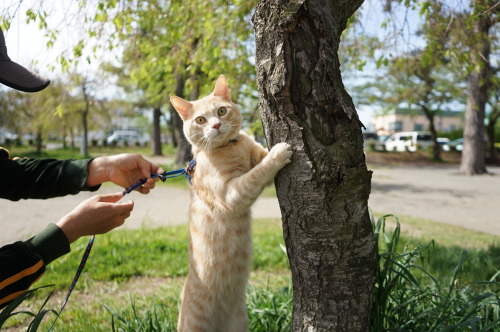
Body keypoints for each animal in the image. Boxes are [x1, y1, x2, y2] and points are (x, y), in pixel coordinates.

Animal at [170, 75, 292, 332]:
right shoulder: (232, 194)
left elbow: (259, 160)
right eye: (201, 120)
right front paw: (279, 153)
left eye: (222, 111)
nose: (216, 125)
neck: (232, 147)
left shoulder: (255, 154)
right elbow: (256, 174)